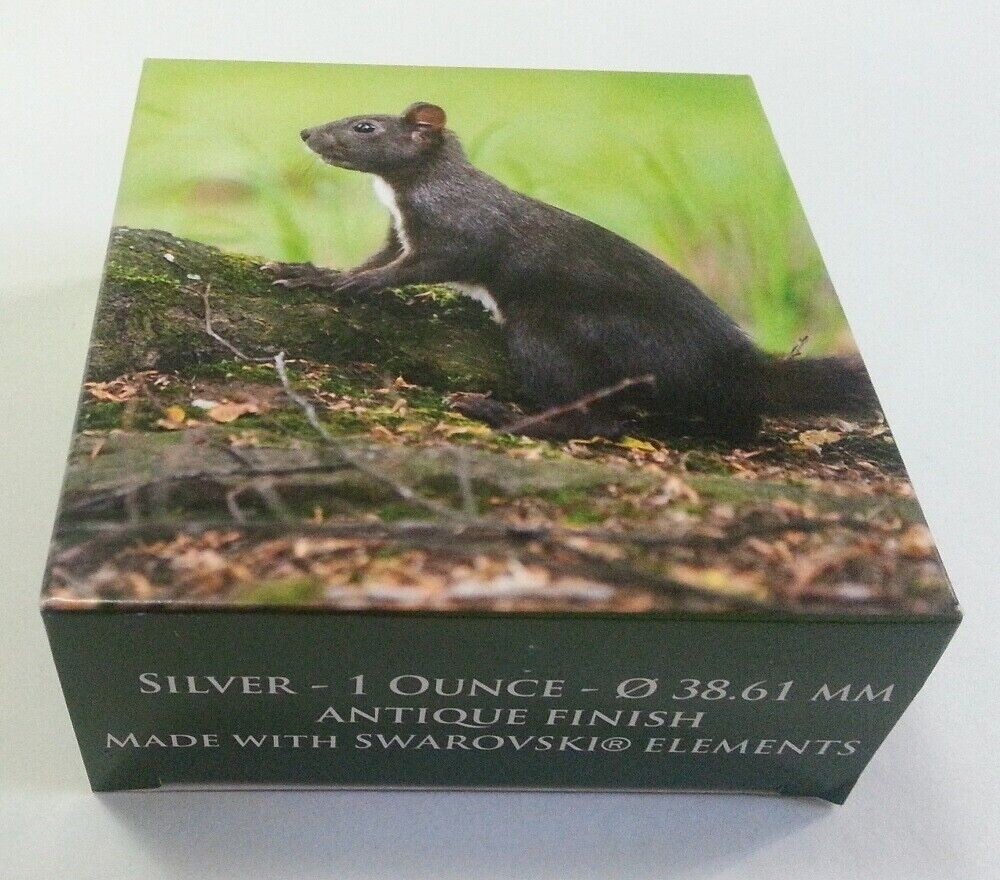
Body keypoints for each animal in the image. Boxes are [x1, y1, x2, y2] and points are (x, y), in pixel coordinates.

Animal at [264, 102, 879, 444]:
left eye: (365, 126)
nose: (304, 133)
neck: (405, 192)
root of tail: (728, 366)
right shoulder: (398, 234)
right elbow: (378, 258)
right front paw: (314, 275)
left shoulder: (461, 234)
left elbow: (419, 267)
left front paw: (353, 285)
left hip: (552, 335)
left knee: (596, 419)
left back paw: (496, 412)